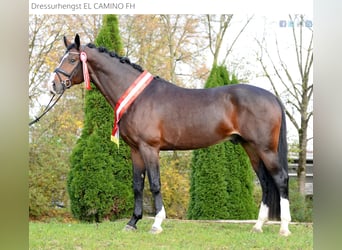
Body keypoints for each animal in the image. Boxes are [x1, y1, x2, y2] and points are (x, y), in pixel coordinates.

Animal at [49, 34, 292, 236]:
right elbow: (137, 185)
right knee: (265, 182)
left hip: (265, 148)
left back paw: (284, 228)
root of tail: (272, 96)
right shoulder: (136, 150)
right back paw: (258, 226)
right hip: (251, 147)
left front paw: (157, 223)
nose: (53, 86)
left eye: (72, 60)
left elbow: (155, 184)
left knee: (280, 179)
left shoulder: (150, 148)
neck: (138, 98)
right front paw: (132, 223)